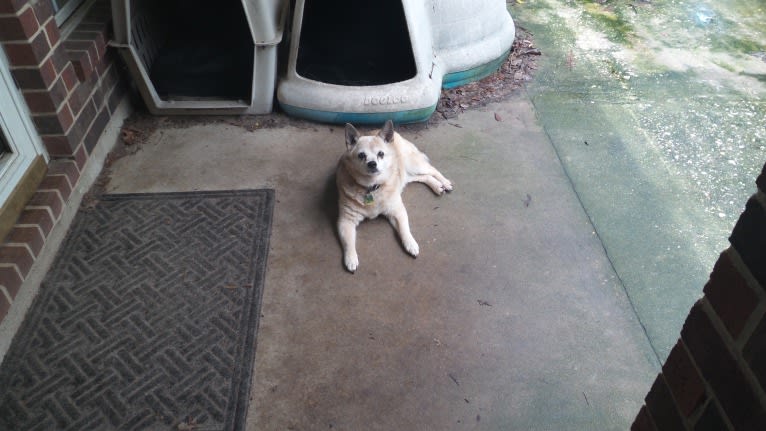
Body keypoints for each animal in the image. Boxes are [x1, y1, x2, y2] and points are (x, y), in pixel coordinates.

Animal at [338, 120, 456, 272]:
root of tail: (396, 136)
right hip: (405, 175)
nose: (372, 163)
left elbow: (405, 229)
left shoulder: (397, 211)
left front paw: (410, 243)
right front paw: (350, 258)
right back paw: (437, 186)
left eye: (381, 154)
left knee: (432, 170)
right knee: (424, 177)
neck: (372, 187)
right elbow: (348, 243)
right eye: (361, 155)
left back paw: (445, 182)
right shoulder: (346, 221)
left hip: (413, 165)